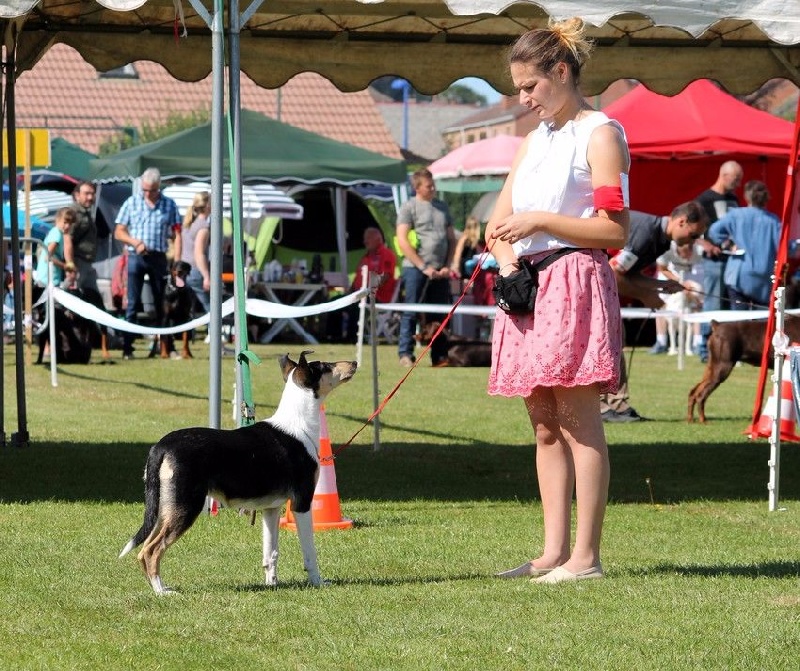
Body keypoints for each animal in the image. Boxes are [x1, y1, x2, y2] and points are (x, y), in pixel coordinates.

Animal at [119, 351, 357, 594]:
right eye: (326, 366)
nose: (354, 363)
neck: (299, 425)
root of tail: (161, 446)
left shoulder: (271, 508)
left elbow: (271, 552)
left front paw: (272, 584)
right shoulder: (302, 503)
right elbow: (310, 552)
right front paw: (318, 581)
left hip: (165, 507)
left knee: (145, 548)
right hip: (184, 506)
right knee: (151, 549)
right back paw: (162, 592)